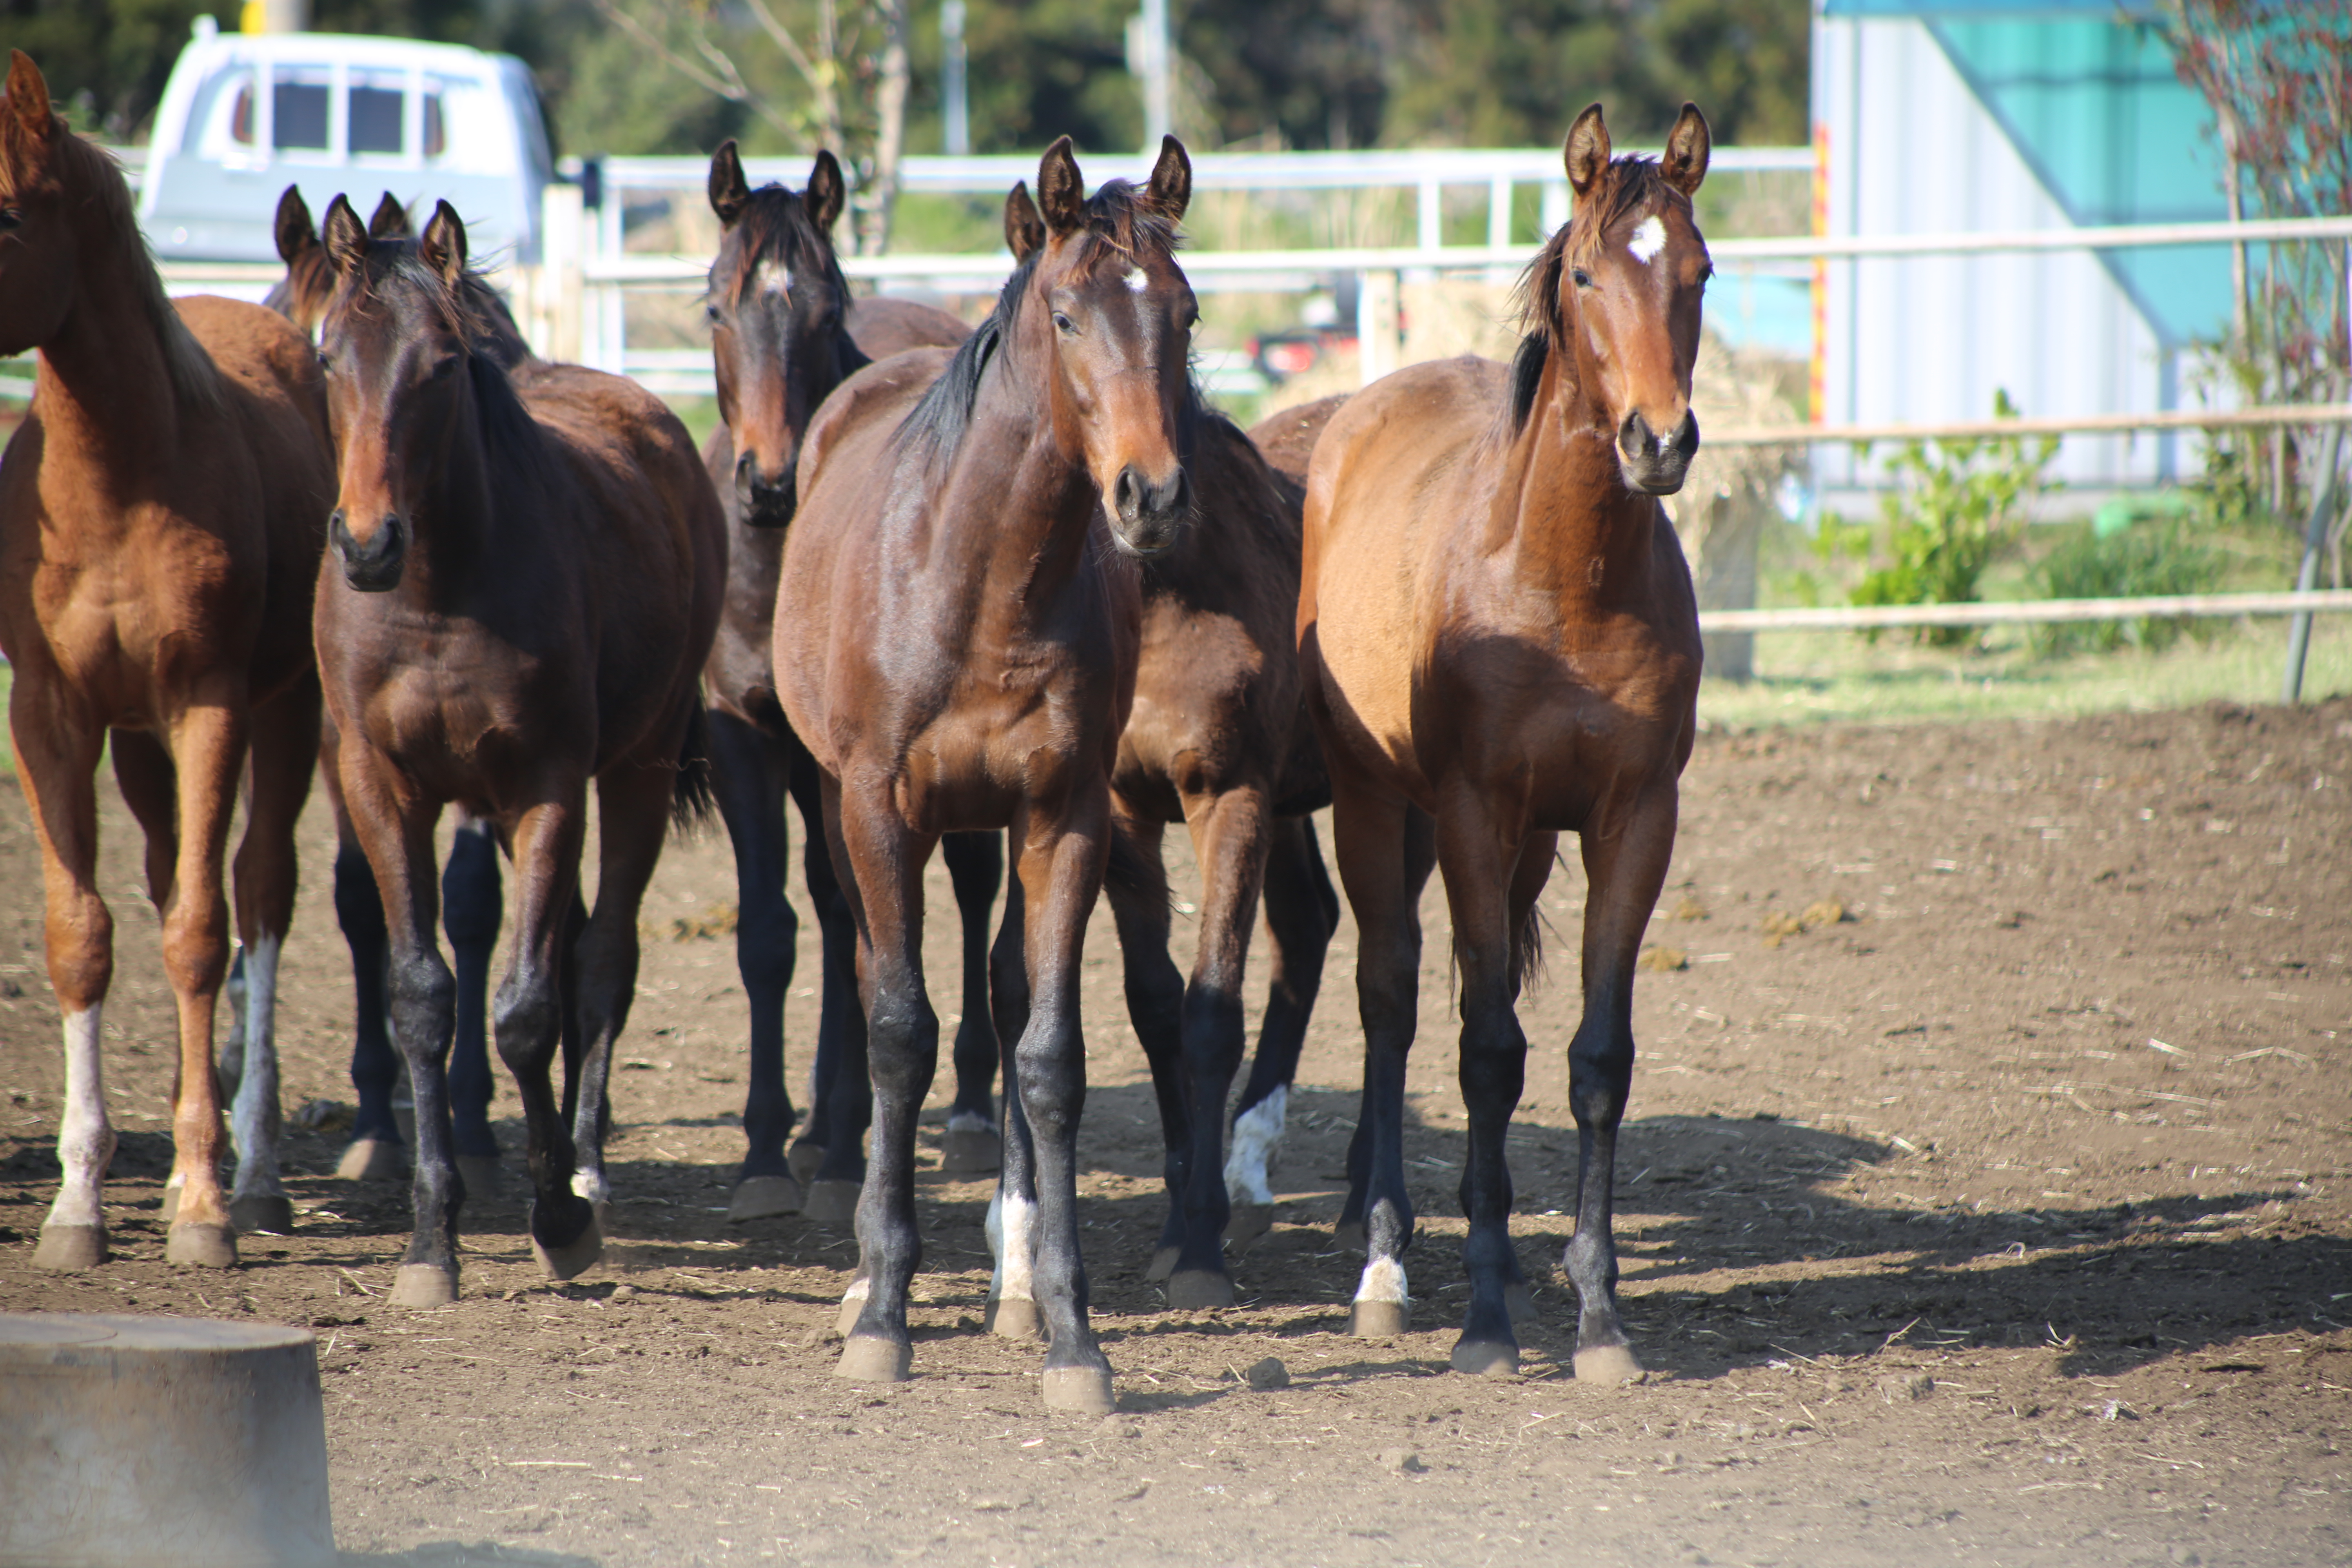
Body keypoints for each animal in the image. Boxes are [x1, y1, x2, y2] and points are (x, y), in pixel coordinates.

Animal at [0, 52, 336, 1278]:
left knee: (259, 895)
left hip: (284, 720)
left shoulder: (211, 709)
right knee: (158, 878)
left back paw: (256, 1172)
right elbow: (83, 936)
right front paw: (78, 1200)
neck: (119, 481)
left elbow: (202, 932)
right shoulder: (51, 716)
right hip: (140, 748)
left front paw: (201, 1203)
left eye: (8, 214)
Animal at [313, 193, 719, 1297]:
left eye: (442, 364)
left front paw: (558, 1218)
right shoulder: (381, 787)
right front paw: (431, 1241)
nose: (368, 542)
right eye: (328, 357)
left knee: (602, 956)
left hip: (635, 770)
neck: (439, 594)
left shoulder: (548, 788)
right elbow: (423, 995)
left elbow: (528, 1008)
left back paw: (585, 1166)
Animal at [686, 144, 1002, 1222]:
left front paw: (831, 1139)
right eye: (714, 306)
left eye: (827, 312)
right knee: (835, 915)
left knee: (970, 893)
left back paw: (958, 1112)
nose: (769, 481)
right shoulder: (745, 737)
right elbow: (773, 934)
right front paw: (765, 1151)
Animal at [781, 135, 1204, 1410]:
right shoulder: (875, 812)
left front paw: (1071, 1331)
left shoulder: (1063, 819)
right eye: (1066, 315)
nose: (1152, 496)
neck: (975, 579)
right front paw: (883, 1310)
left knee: (1010, 992)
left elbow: (1049, 1053)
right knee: (875, 981)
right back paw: (864, 1278)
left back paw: (1013, 1279)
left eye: (1184, 312)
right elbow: (898, 1032)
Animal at [1298, 104, 1703, 1382]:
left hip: (1521, 844)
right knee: (1389, 995)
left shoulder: (1634, 821)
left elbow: (1593, 1060)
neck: (1561, 583)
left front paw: (1597, 1314)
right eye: (1583, 273)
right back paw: (1384, 1261)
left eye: (1698, 269)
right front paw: (1481, 1317)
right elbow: (1482, 1050)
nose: (1657, 442)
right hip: (1376, 804)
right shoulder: (1472, 813)